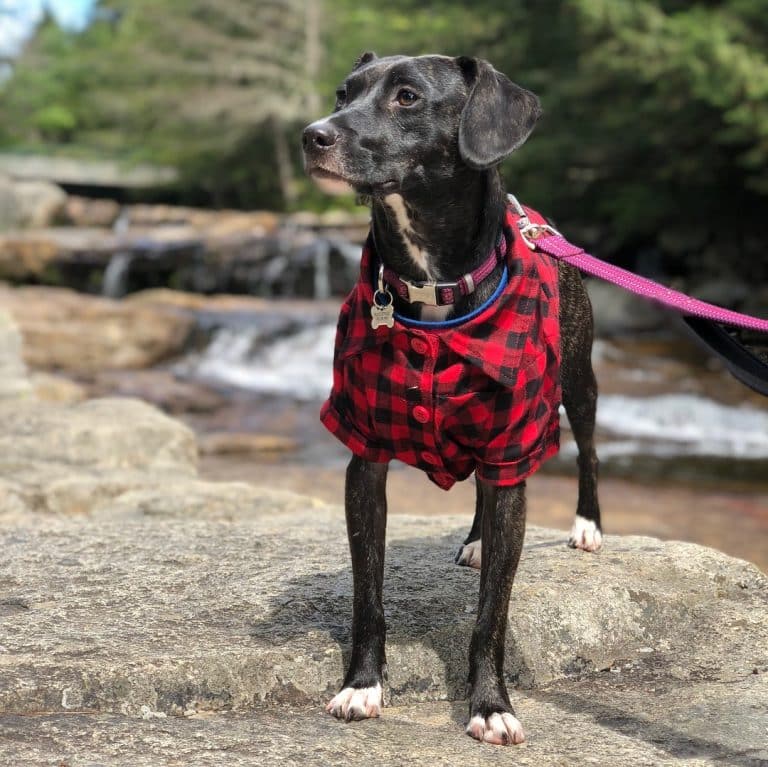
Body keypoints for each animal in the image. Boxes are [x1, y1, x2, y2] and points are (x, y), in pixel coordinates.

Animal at [300, 52, 600, 744]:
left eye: (408, 97)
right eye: (344, 94)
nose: (312, 135)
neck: (432, 286)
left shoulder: (515, 441)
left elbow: (492, 613)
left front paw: (491, 704)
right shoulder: (365, 457)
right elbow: (368, 595)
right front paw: (362, 684)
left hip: (579, 382)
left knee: (588, 452)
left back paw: (587, 526)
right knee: (484, 491)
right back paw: (478, 539)